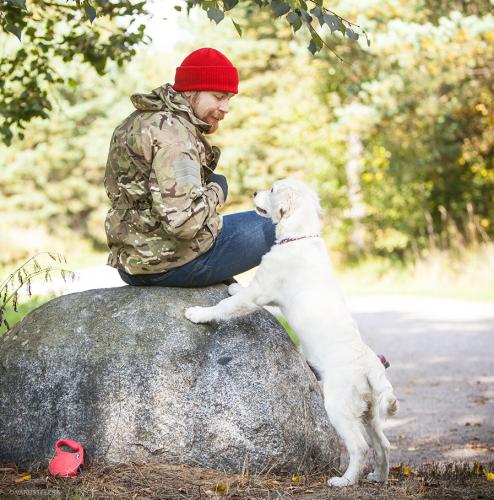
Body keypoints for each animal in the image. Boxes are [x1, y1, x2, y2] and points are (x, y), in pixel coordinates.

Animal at [185, 179, 398, 484]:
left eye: (273, 189)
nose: (253, 193)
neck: (299, 238)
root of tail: (370, 366)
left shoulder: (260, 291)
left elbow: (228, 305)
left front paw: (199, 313)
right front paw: (234, 287)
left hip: (339, 404)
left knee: (360, 446)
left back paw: (344, 481)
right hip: (369, 411)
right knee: (383, 444)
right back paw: (378, 477)